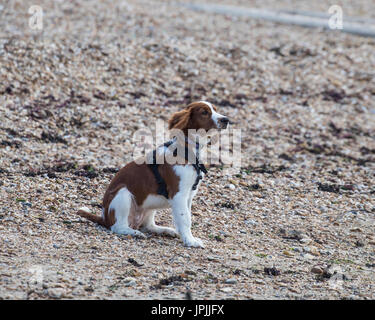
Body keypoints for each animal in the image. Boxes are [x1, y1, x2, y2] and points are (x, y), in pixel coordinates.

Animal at [78, 100, 231, 248]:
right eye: (204, 112)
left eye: (215, 109)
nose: (226, 119)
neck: (187, 152)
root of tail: (104, 217)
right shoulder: (179, 194)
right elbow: (185, 218)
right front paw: (190, 241)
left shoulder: (189, 195)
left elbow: (187, 217)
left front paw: (187, 237)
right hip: (123, 194)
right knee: (117, 227)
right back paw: (134, 233)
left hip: (149, 206)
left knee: (147, 225)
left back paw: (165, 230)